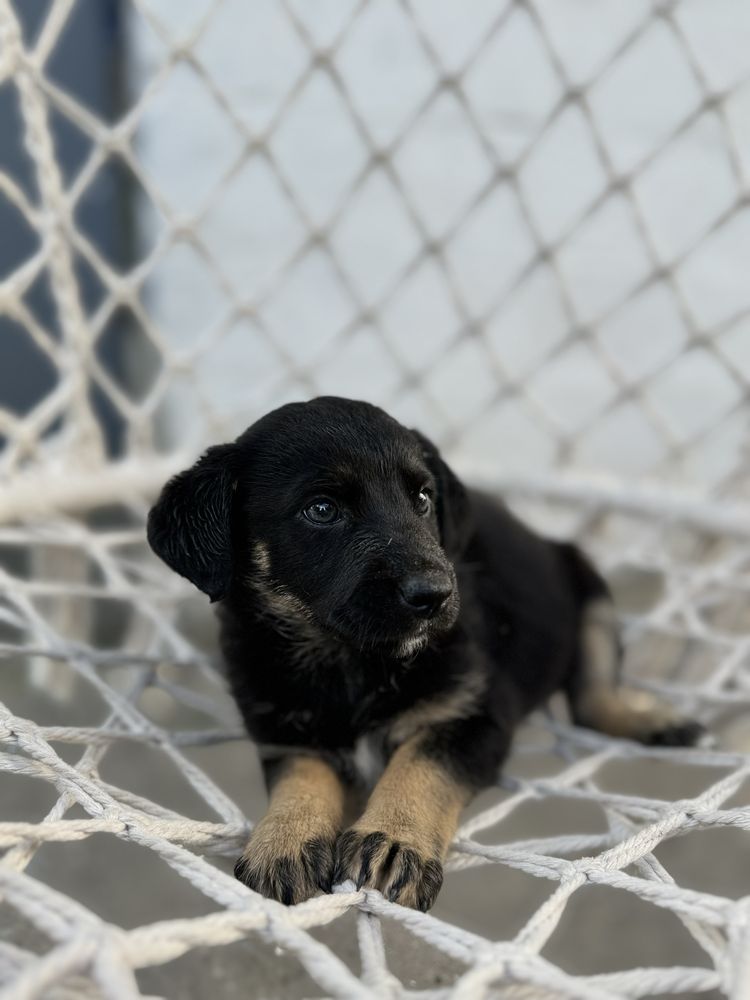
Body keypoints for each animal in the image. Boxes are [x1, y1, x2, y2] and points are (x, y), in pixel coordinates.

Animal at [148, 394, 704, 912]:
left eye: (421, 498)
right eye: (321, 509)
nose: (435, 595)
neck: (351, 661)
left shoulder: (474, 716)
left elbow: (421, 766)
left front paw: (396, 840)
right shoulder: (285, 733)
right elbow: (301, 777)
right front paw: (286, 838)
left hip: (588, 589)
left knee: (593, 697)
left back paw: (652, 719)